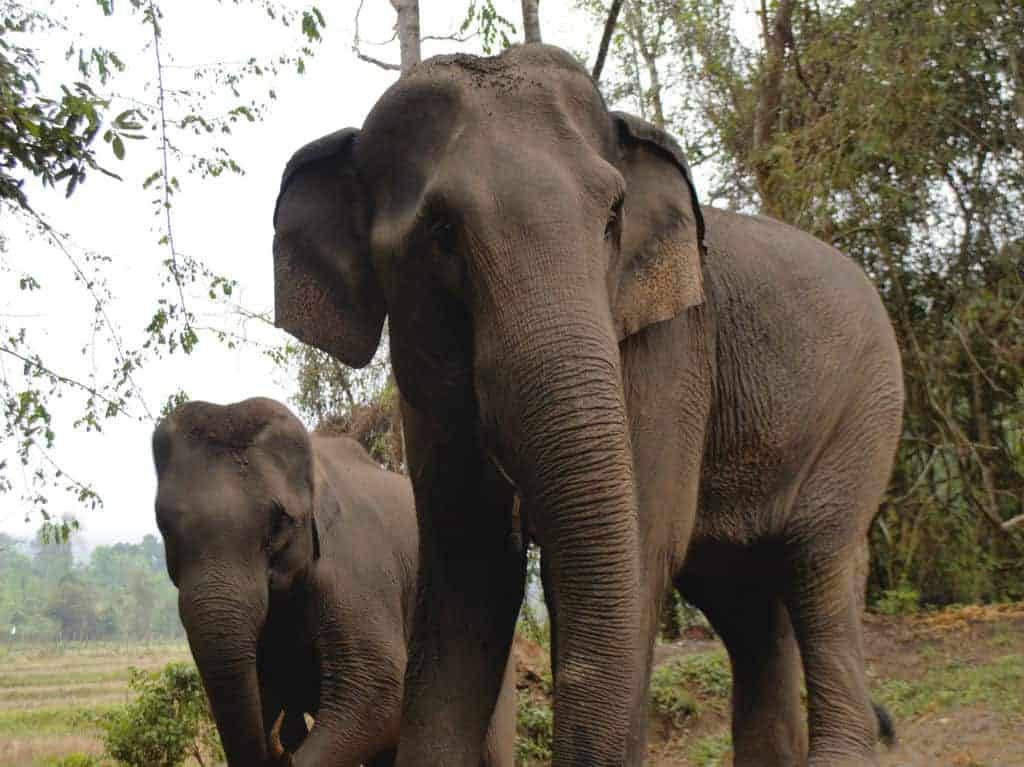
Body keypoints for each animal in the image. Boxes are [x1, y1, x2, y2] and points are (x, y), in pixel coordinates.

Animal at [272, 43, 905, 765]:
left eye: (612, 215)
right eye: (440, 231)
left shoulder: (670, 347)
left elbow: (641, 550)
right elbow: (470, 566)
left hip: (866, 409)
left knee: (817, 560)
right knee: (747, 603)